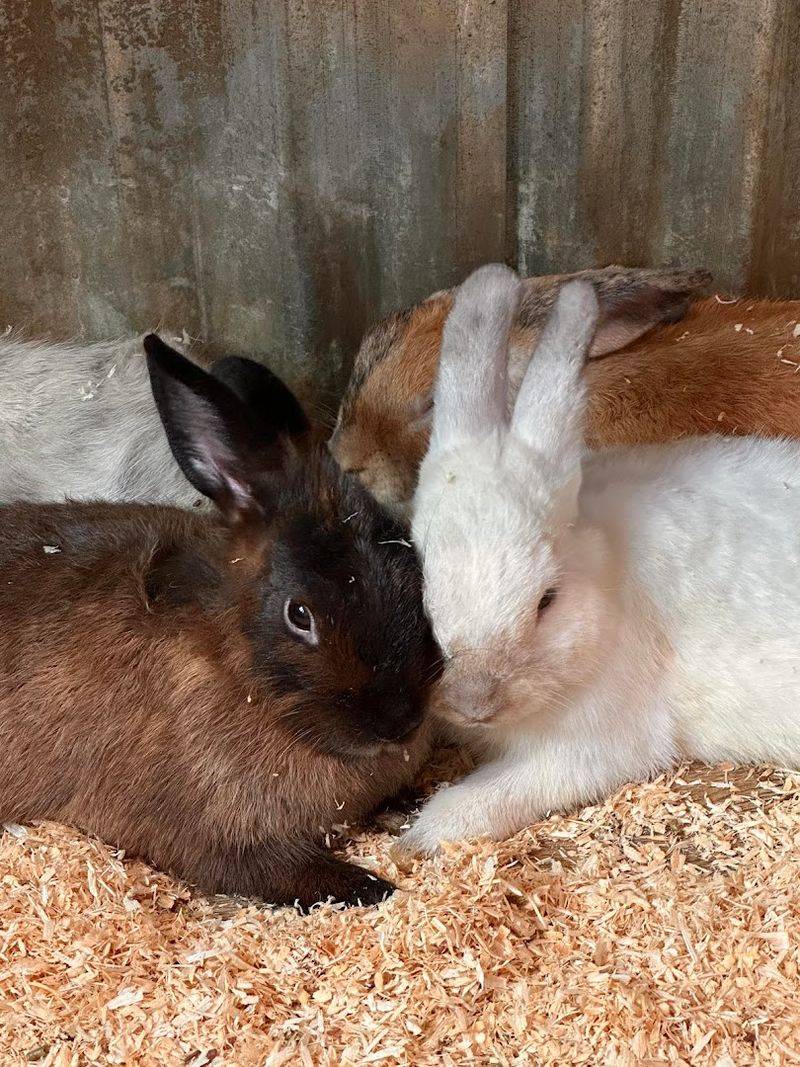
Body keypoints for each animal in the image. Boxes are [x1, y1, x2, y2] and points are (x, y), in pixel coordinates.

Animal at [0, 333, 439, 908]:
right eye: (299, 615)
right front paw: (374, 886)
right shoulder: (217, 841)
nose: (399, 722)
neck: (233, 663)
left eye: (414, 568)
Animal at [397, 264, 800, 857]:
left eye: (547, 600)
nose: (474, 701)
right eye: (420, 579)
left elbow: (504, 791)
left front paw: (422, 835)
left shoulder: (598, 741)